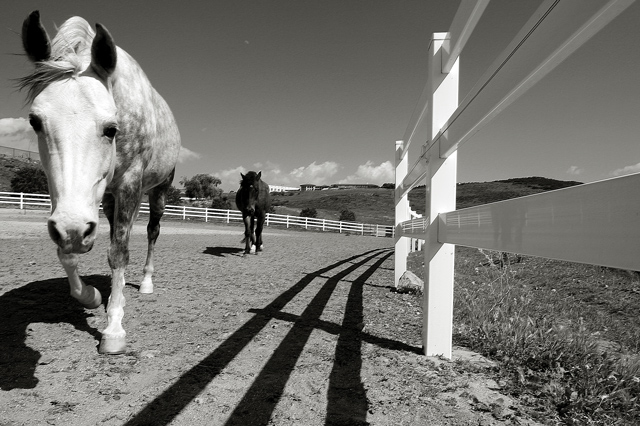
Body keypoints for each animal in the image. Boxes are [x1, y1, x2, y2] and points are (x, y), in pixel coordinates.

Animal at [20, 11, 180, 354]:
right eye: (35, 121)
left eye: (111, 128)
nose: (73, 229)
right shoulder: (67, 200)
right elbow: (67, 252)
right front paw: (92, 297)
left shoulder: (130, 185)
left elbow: (119, 252)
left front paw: (114, 329)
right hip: (106, 200)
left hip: (159, 191)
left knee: (152, 232)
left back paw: (145, 283)